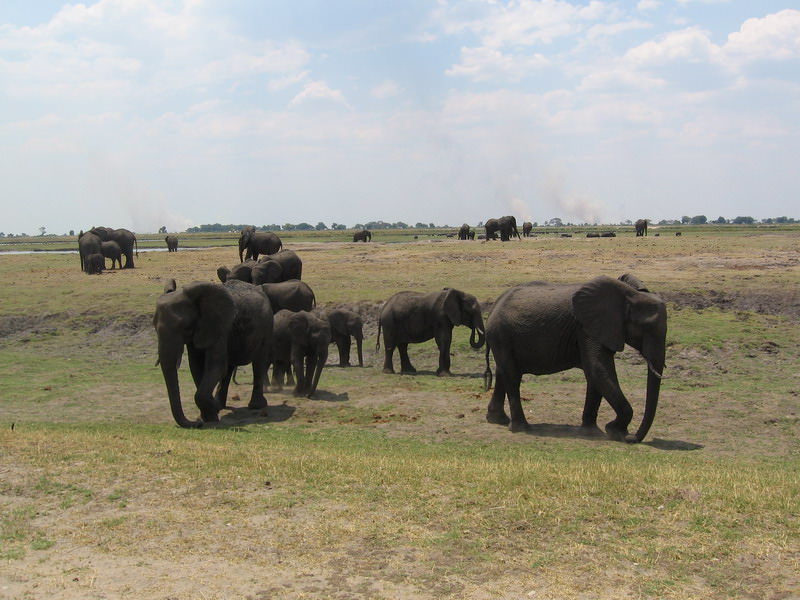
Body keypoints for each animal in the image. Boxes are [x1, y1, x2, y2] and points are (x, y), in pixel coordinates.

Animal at [153, 278, 276, 428]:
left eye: (184, 326)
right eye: (154, 326)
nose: (197, 424)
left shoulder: (220, 327)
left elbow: (215, 366)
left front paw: (210, 413)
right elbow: (196, 366)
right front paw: (209, 414)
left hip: (267, 326)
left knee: (258, 363)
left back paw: (256, 406)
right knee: (228, 368)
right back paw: (221, 405)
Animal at [482, 274, 668, 442]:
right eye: (646, 328)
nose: (632, 438)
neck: (629, 295)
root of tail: (495, 305)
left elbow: (595, 375)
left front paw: (592, 432)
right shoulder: (587, 328)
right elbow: (598, 368)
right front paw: (615, 432)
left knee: (503, 371)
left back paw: (498, 420)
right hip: (501, 335)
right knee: (512, 376)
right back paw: (522, 428)